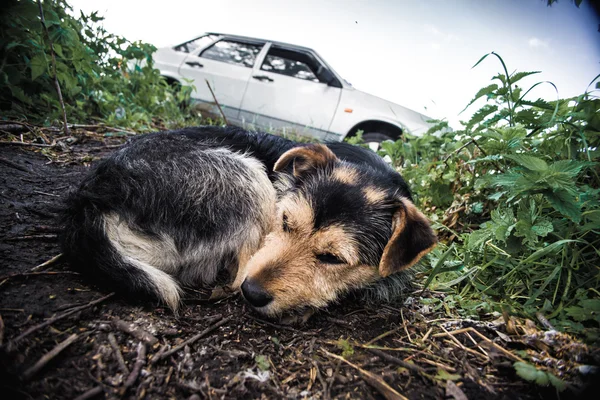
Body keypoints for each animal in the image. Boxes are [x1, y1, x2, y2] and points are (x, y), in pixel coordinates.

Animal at [61, 125, 436, 316]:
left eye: (332, 258)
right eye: (284, 221)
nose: (252, 294)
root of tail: (92, 197)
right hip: (246, 174)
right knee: (235, 271)